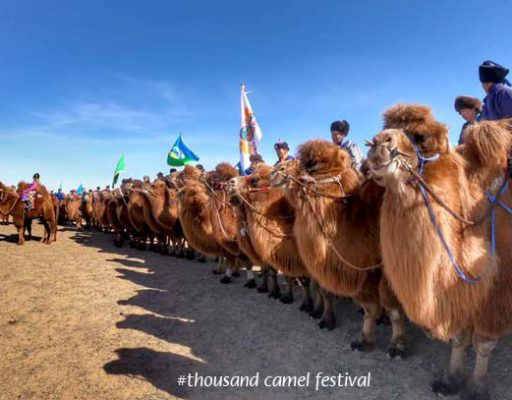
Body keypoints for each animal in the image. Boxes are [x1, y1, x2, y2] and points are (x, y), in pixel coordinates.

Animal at [270, 141, 406, 356]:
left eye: (311, 163)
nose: (276, 171)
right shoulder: (358, 271)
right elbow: (367, 307)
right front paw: (360, 338)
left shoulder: (385, 269)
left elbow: (393, 309)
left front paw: (397, 345)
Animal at [368, 104, 512, 400]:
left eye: (421, 137)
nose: (378, 143)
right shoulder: (459, 291)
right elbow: (458, 337)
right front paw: (450, 379)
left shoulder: (499, 290)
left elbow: (484, 343)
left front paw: (477, 387)